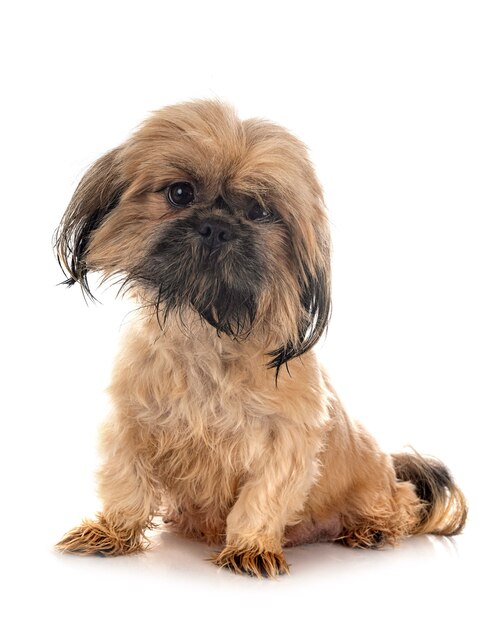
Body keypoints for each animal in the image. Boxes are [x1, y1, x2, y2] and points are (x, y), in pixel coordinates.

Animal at [55, 98, 468, 576]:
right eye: (180, 193)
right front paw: (112, 531)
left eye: (259, 212)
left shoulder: (286, 441)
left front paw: (250, 547)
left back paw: (372, 529)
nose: (216, 226)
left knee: (401, 503)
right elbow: (127, 483)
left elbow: (262, 498)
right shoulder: (130, 423)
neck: (210, 329)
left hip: (375, 486)